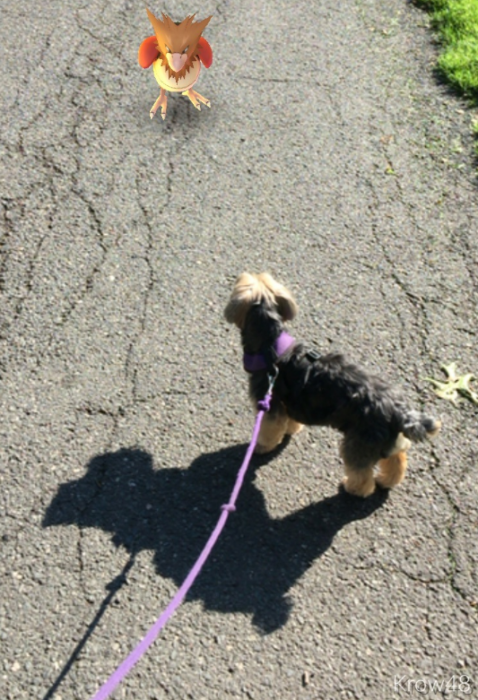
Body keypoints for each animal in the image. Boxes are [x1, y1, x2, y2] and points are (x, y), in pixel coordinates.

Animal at [226, 272, 442, 498]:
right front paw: (292, 430)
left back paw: (353, 488)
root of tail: (399, 411)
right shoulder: (292, 404)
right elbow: (291, 421)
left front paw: (261, 446)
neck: (271, 345)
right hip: (386, 442)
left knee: (361, 474)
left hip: (359, 443)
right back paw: (387, 480)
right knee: (397, 459)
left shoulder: (269, 403)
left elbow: (269, 430)